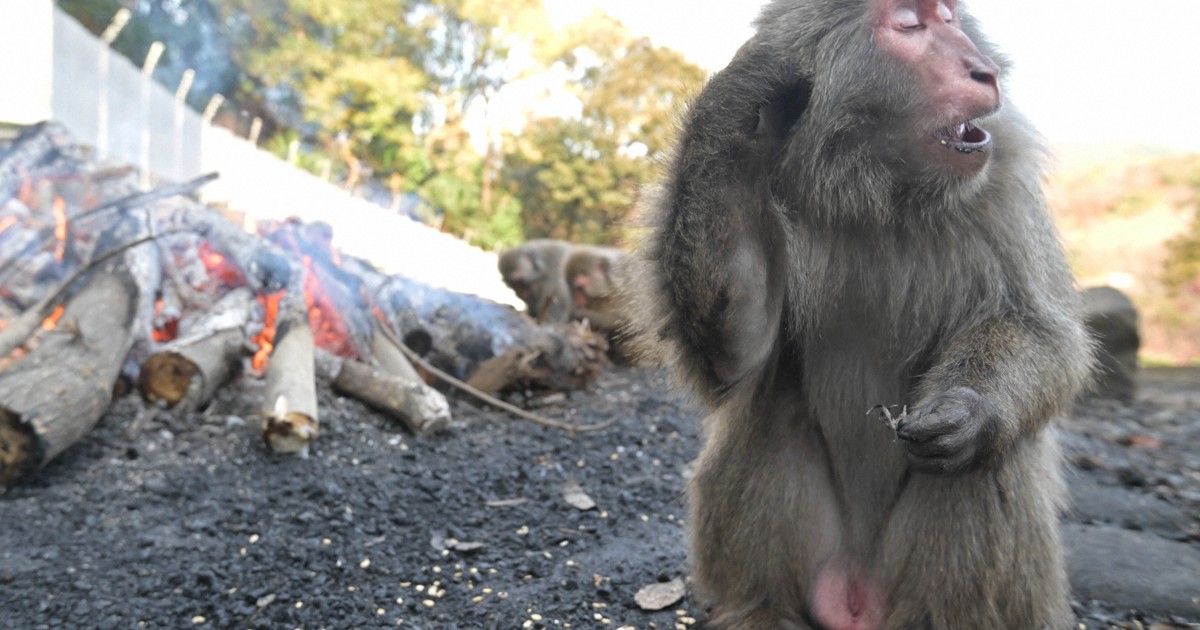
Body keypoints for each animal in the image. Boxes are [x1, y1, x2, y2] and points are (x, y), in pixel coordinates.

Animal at [629, 1, 1093, 628]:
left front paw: (966, 411)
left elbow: (1042, 333)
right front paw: (735, 97)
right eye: (909, 24)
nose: (986, 71)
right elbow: (735, 354)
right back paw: (763, 611)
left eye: (949, 18)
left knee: (981, 465)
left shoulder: (1004, 181)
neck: (878, 191)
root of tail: (856, 598)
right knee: (773, 411)